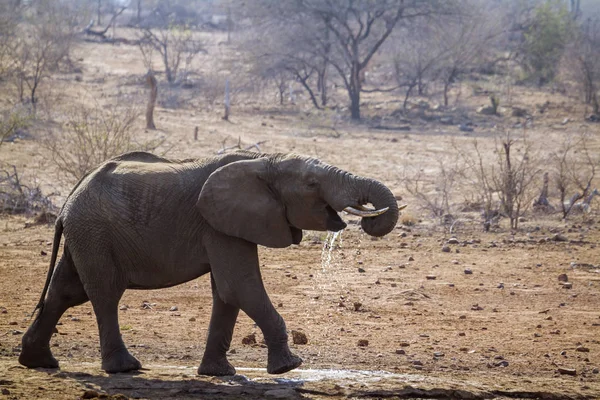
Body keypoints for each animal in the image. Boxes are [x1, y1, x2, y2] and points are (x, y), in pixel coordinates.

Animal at [18, 150, 400, 376]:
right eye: (311, 184)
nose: (368, 216)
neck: (263, 162)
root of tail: (70, 197)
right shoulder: (218, 224)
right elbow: (241, 287)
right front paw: (289, 368)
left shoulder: (230, 224)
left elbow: (228, 294)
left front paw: (219, 374)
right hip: (95, 233)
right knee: (104, 294)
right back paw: (125, 369)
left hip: (85, 235)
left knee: (65, 292)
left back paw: (38, 363)